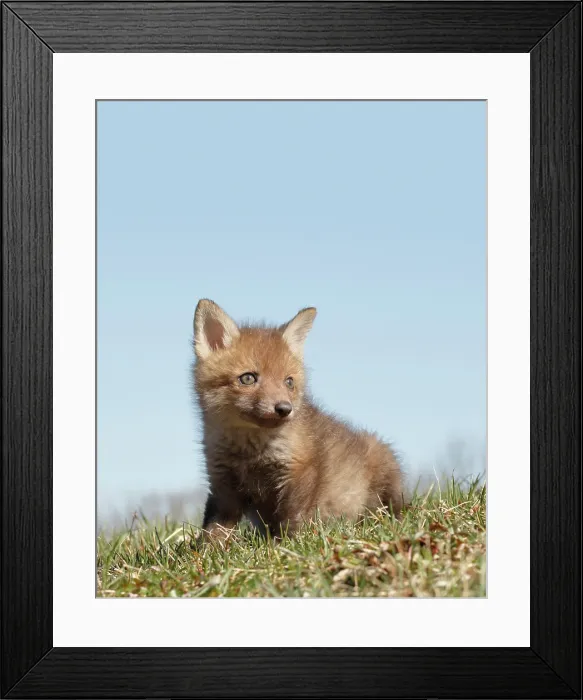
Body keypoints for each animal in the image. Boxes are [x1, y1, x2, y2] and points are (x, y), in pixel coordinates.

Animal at [192, 299, 404, 540]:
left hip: (384, 471)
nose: (284, 408)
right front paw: (205, 549)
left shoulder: (300, 471)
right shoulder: (222, 484)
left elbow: (292, 519)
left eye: (289, 382)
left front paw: (286, 544)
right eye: (247, 378)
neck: (250, 453)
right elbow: (214, 530)